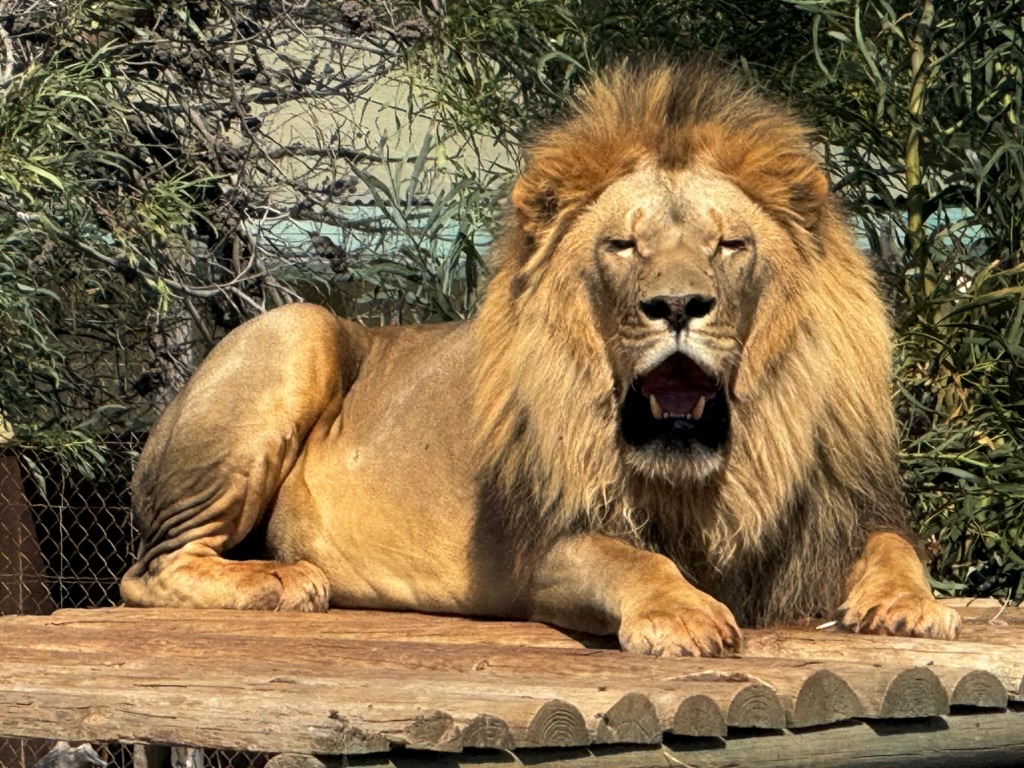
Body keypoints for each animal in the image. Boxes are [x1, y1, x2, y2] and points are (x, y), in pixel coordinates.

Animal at [120, 60, 961, 656]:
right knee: (148, 570)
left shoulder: (834, 513)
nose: (677, 305)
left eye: (730, 244)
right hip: (295, 329)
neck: (709, 473)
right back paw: (283, 579)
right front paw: (683, 615)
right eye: (622, 245)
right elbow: (633, 561)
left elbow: (895, 546)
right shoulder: (547, 548)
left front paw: (910, 604)